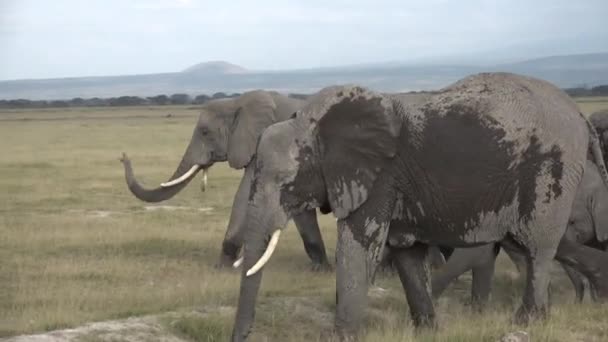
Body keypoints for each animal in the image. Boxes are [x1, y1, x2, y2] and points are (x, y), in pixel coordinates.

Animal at [116, 90, 330, 270]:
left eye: (205, 132)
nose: (122, 156)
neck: (238, 102)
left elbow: (245, 196)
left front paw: (222, 268)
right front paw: (321, 269)